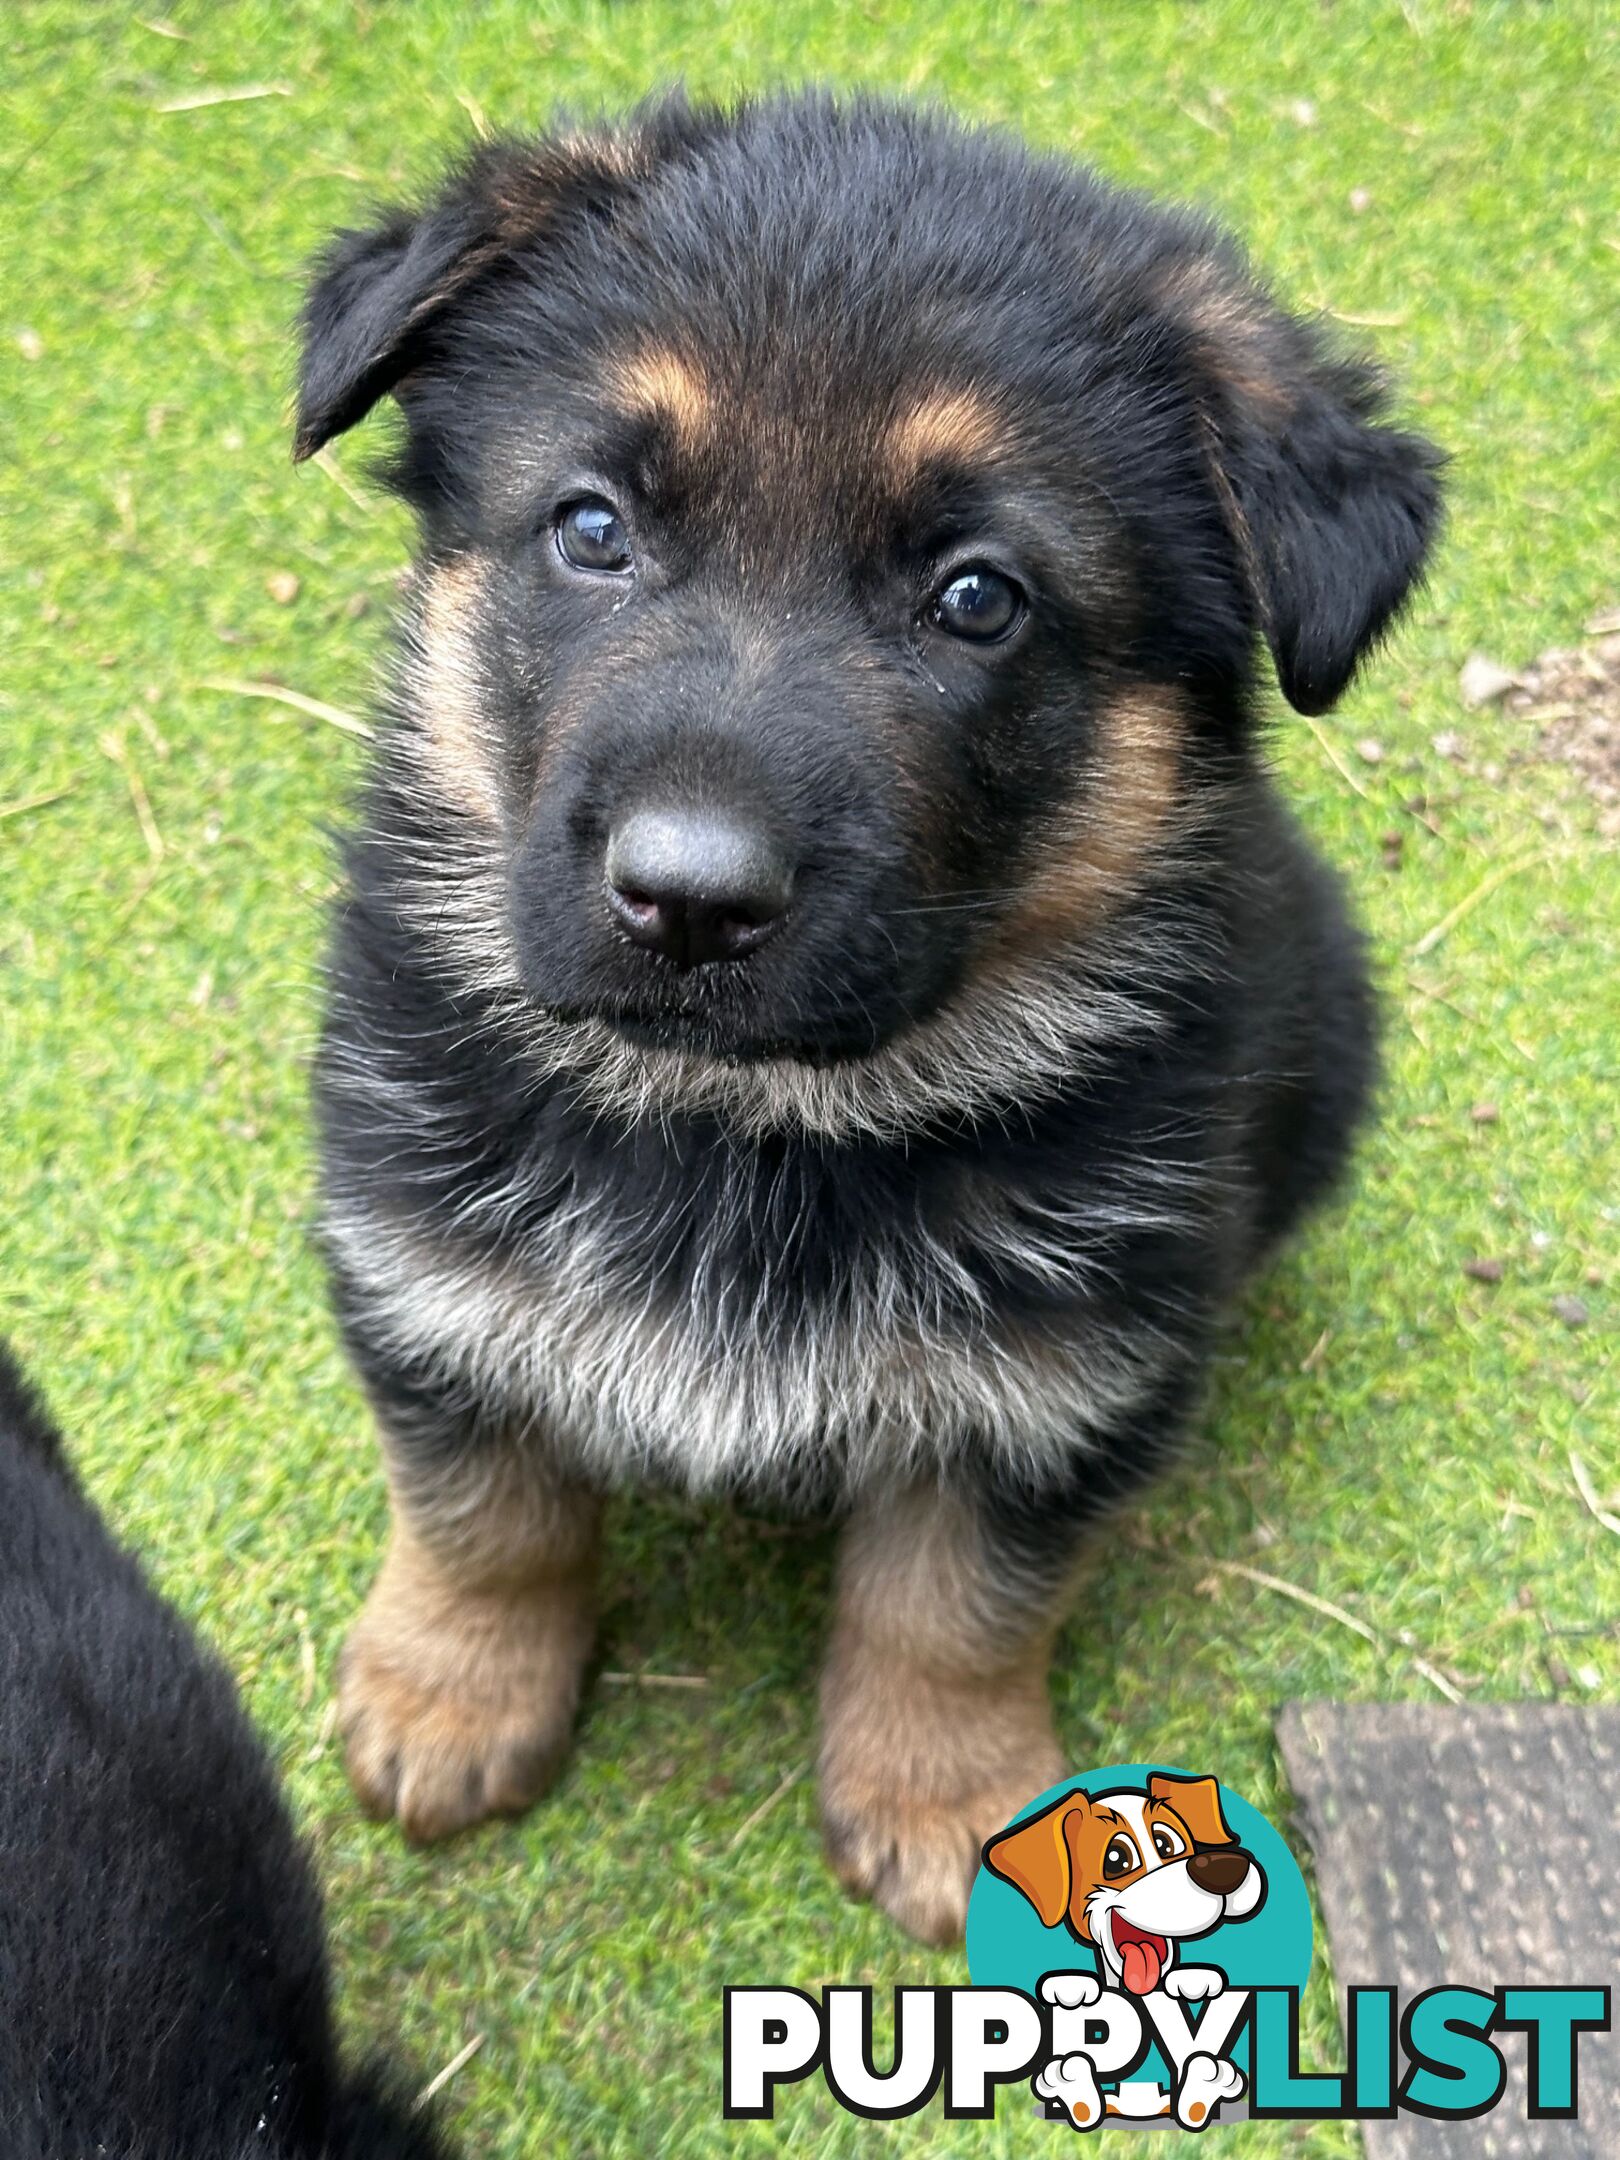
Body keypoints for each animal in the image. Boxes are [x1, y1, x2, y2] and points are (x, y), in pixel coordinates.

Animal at [298, 88, 1442, 1944]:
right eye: (593, 529)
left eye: (979, 596)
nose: (689, 899)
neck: (748, 1127)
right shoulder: (426, 1274)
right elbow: (482, 1515)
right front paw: (452, 1692)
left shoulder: (1055, 1384)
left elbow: (956, 1607)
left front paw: (955, 1801)